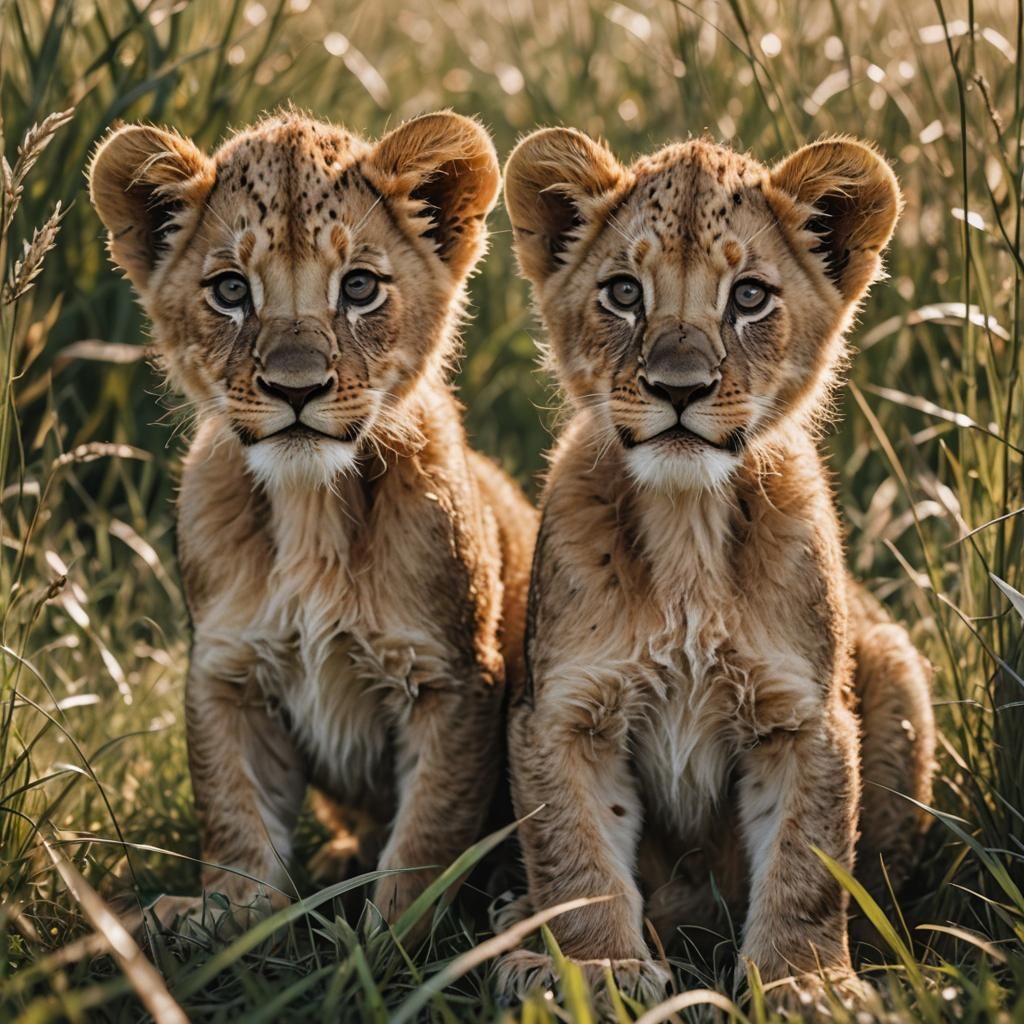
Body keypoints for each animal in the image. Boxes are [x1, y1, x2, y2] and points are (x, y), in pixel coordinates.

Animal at [88, 110, 536, 936]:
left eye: (358, 286)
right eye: (231, 289)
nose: (295, 388)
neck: (310, 505)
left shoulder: (453, 679)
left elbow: (427, 833)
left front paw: (391, 938)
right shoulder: (227, 672)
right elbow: (234, 815)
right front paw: (223, 917)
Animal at [497, 128, 936, 1012]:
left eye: (751, 297)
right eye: (623, 292)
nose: (678, 387)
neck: (687, 528)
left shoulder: (803, 718)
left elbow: (808, 861)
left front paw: (808, 983)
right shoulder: (563, 715)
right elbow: (576, 855)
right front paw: (597, 968)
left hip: (896, 665)